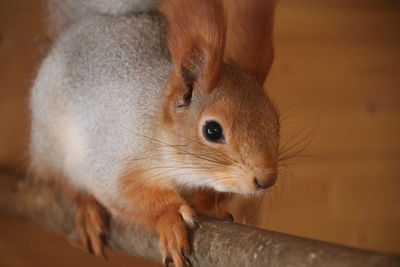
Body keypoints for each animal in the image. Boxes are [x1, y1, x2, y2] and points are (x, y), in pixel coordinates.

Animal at [29, 0, 278, 266]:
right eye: (212, 130)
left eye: (275, 120)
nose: (266, 180)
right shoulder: (113, 160)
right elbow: (126, 195)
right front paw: (170, 217)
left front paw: (208, 205)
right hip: (51, 145)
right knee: (68, 183)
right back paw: (86, 209)